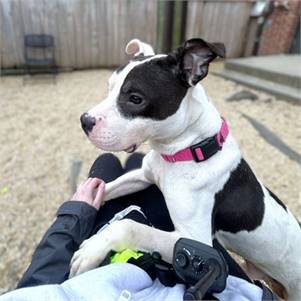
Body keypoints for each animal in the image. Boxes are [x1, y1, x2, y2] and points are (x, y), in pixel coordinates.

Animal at [69, 38, 300, 298]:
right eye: (109, 87)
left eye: (136, 98)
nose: (85, 121)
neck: (188, 150)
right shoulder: (142, 176)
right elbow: (108, 187)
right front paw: (83, 199)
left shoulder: (193, 241)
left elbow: (130, 227)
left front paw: (92, 250)